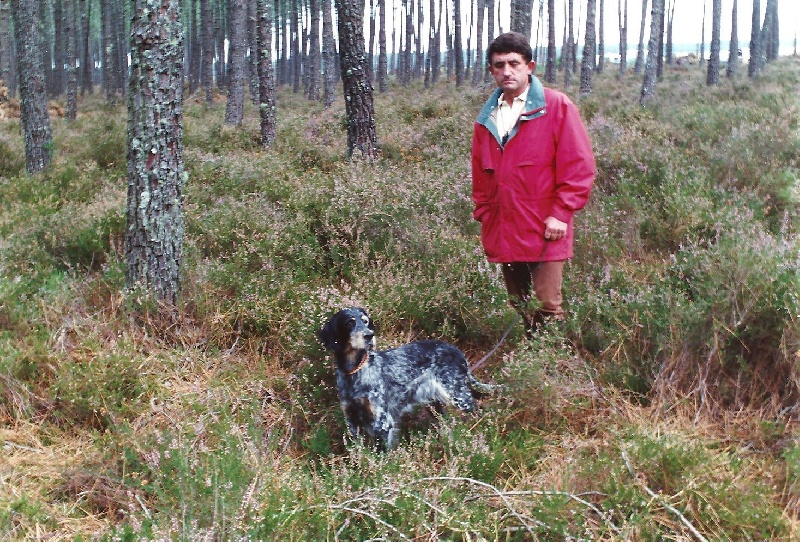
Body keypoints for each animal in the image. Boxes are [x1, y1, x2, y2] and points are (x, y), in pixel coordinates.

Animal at [318, 307, 493, 450]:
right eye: (349, 323)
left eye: (366, 321)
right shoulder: (352, 421)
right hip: (435, 403)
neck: (354, 372)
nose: (370, 335)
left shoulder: (382, 422)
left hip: (457, 395)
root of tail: (458, 351)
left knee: (477, 410)